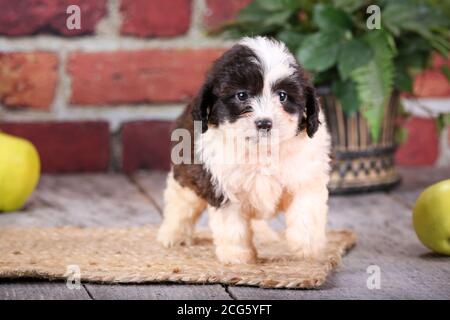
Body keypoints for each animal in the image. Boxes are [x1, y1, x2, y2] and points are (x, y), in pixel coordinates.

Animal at [157, 36, 330, 264]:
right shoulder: (223, 187)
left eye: (282, 96)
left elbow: (306, 211)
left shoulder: (306, 177)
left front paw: (306, 248)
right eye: (241, 95)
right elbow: (233, 225)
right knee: (181, 205)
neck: (262, 151)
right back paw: (173, 235)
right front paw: (237, 256)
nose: (264, 123)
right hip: (187, 177)